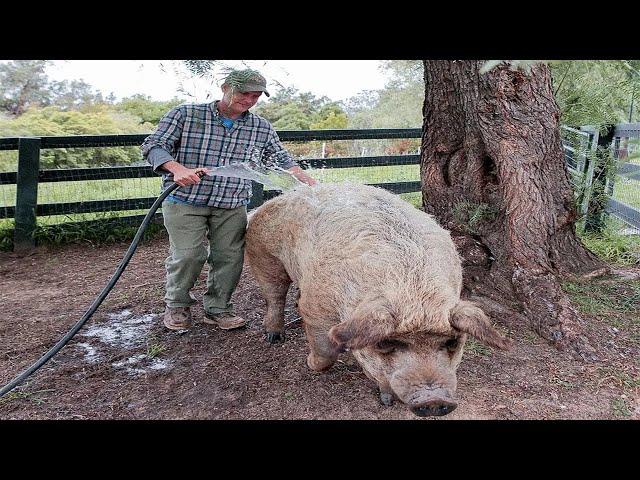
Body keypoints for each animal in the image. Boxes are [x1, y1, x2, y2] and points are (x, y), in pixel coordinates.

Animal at [245, 183, 510, 416]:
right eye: (384, 343)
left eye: (453, 342)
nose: (433, 399)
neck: (413, 293)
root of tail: (274, 200)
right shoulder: (316, 307)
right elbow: (325, 348)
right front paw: (311, 364)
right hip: (264, 255)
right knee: (275, 295)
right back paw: (274, 337)